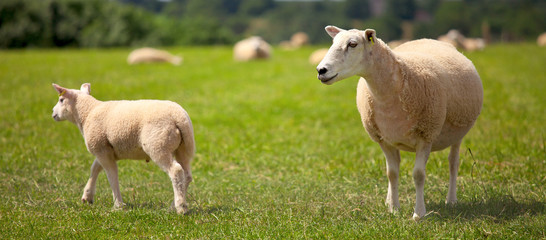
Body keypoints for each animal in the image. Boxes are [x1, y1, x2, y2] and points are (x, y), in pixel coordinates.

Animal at [51, 83, 194, 214]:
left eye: (61, 100)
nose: (53, 113)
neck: (87, 113)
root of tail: (179, 116)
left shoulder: (101, 149)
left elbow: (112, 176)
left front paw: (118, 205)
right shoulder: (104, 150)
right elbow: (95, 168)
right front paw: (87, 196)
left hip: (158, 145)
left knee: (176, 171)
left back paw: (181, 207)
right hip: (183, 148)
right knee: (186, 175)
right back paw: (173, 205)